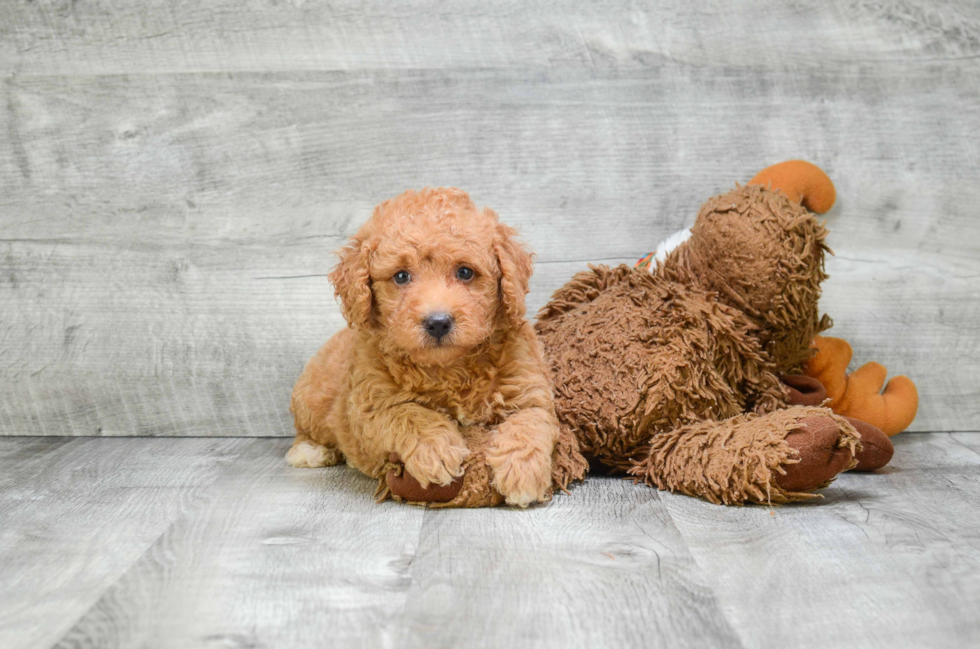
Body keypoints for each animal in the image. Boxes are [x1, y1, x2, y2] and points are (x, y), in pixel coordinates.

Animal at [286, 187, 560, 506]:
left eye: (465, 272)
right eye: (401, 276)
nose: (438, 322)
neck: (450, 367)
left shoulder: (529, 388)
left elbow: (529, 422)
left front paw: (522, 471)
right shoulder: (369, 405)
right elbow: (409, 414)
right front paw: (438, 451)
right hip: (311, 401)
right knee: (305, 431)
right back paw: (310, 451)